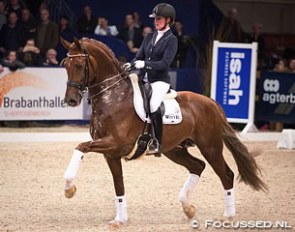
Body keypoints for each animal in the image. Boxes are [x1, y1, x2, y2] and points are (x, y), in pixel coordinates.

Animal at [60, 37, 268, 227]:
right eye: (66, 66)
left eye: (79, 65)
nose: (71, 100)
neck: (113, 98)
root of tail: (212, 103)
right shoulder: (111, 153)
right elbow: (118, 184)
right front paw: (120, 219)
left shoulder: (116, 143)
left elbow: (81, 147)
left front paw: (69, 189)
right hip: (174, 149)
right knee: (197, 166)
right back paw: (188, 208)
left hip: (210, 147)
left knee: (226, 174)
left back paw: (227, 216)